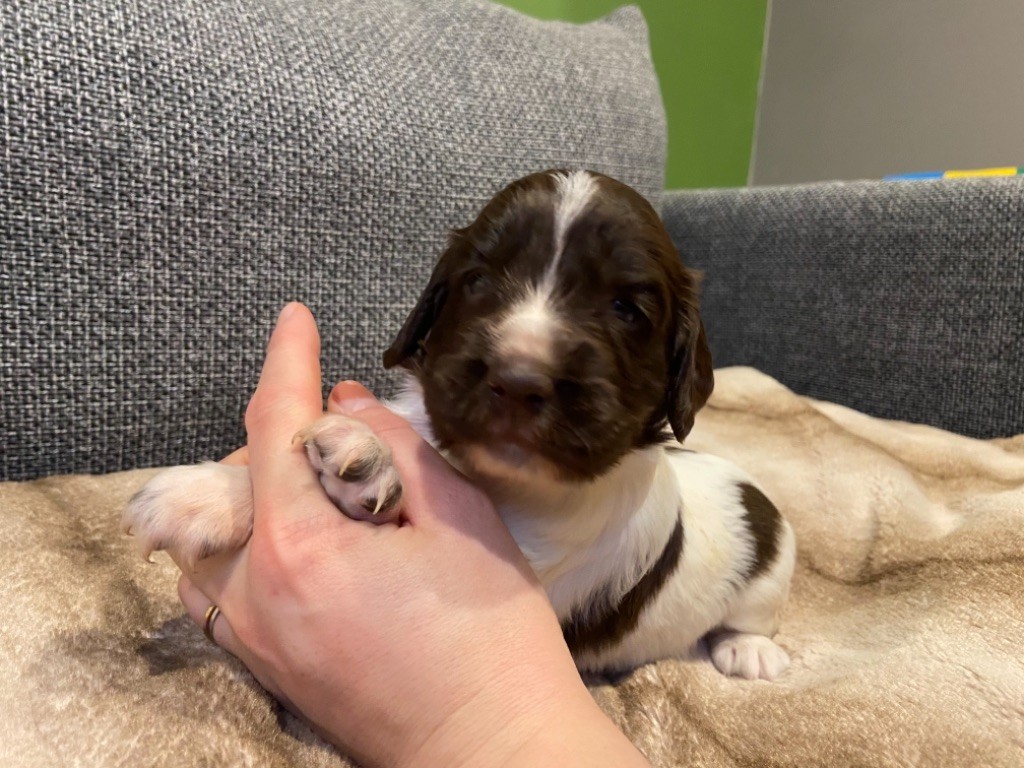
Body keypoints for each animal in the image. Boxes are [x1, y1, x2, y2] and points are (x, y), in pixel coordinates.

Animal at [123, 171, 794, 684]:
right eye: (478, 281)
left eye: (627, 309)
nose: (519, 379)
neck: (502, 480)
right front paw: (207, 493)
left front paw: (361, 460)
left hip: (770, 572)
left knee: (753, 618)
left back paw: (749, 651)